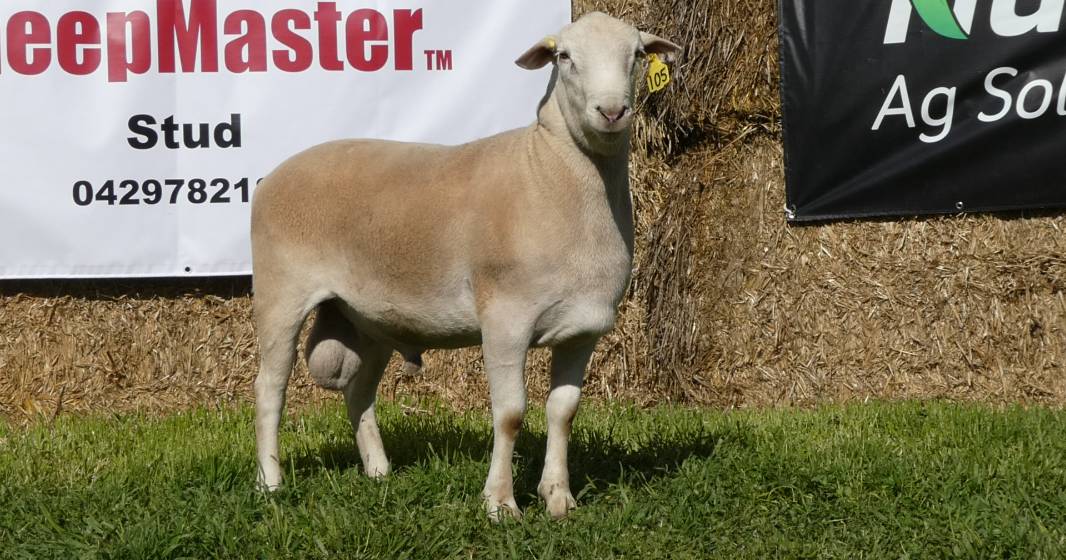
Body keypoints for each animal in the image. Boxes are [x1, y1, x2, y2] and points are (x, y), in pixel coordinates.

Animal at [251, 12, 673, 520]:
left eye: (637, 54)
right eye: (564, 57)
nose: (611, 111)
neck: (548, 174)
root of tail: (271, 176)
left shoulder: (583, 330)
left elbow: (564, 411)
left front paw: (558, 499)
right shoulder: (506, 318)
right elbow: (510, 415)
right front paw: (501, 504)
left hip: (369, 317)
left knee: (359, 391)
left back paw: (378, 472)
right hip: (280, 293)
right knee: (270, 389)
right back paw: (270, 483)